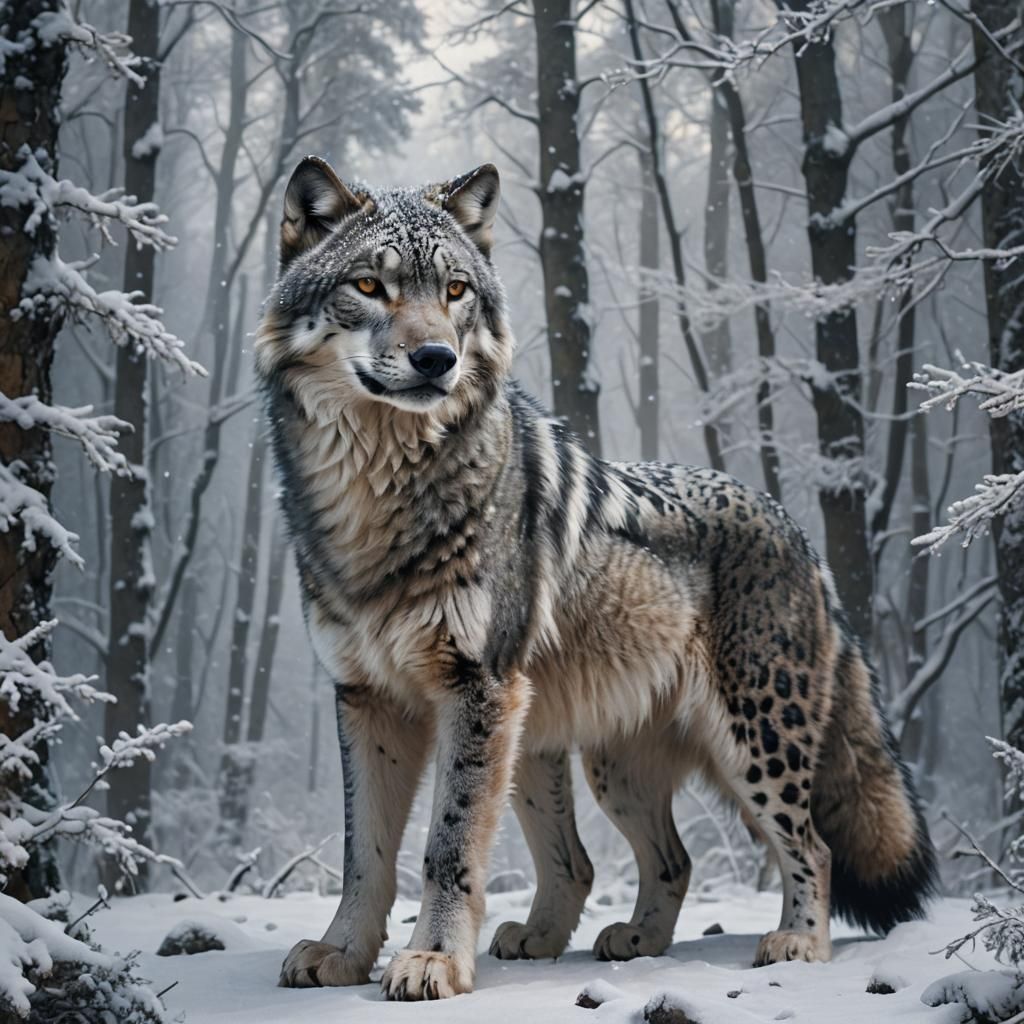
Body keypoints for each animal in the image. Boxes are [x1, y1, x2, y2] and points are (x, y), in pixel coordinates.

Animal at [256, 156, 937, 1002]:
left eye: (455, 291)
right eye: (369, 286)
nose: (436, 359)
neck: (379, 495)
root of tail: (798, 531)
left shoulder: (473, 686)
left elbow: (447, 849)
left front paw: (434, 960)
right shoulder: (367, 698)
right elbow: (364, 856)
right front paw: (343, 953)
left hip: (747, 742)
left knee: (810, 847)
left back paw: (797, 944)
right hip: (577, 756)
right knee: (637, 862)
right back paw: (603, 940)